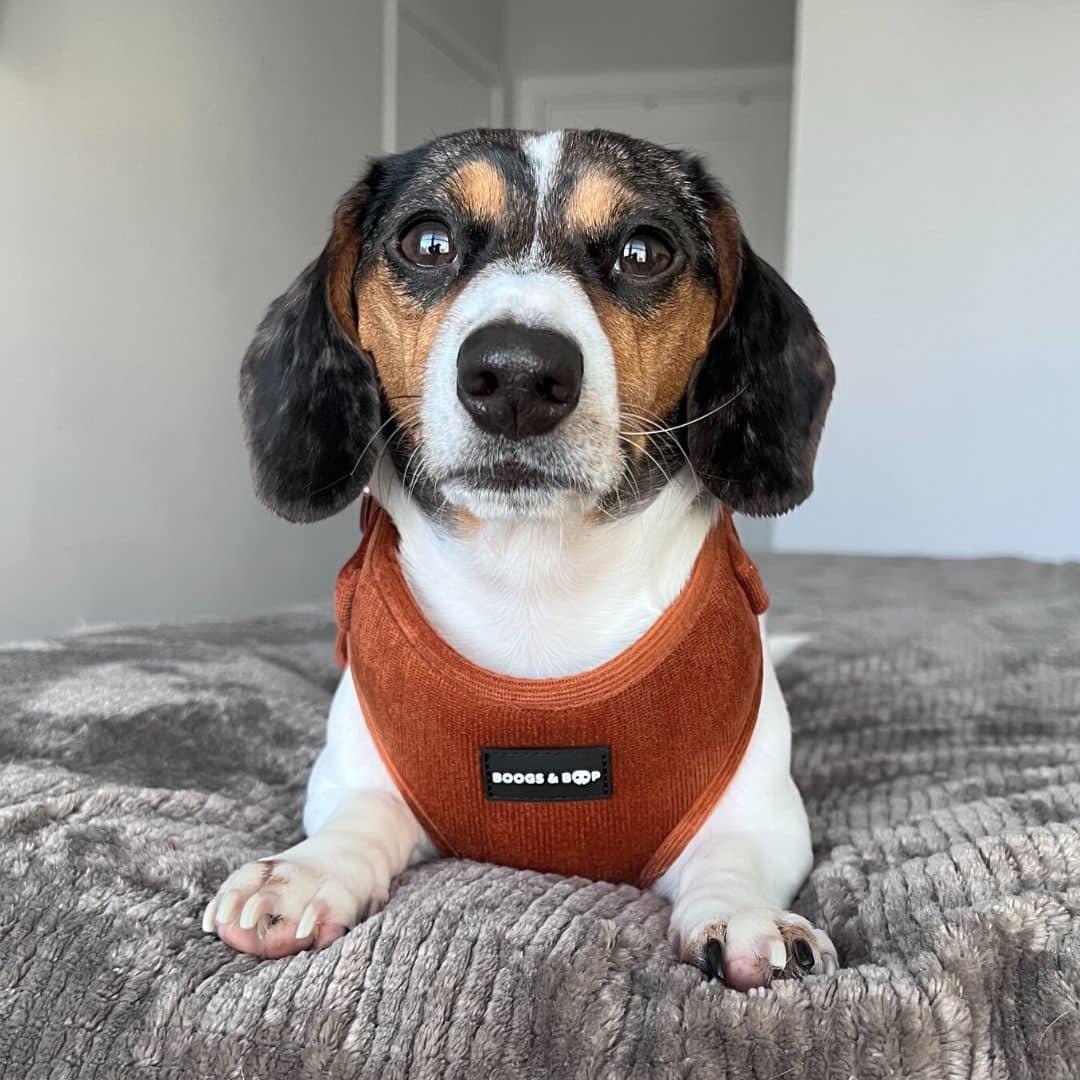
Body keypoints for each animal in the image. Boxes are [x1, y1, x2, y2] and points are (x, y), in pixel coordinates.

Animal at [206, 126, 838, 989]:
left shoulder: (765, 811)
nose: (515, 373)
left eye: (645, 251)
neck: (533, 582)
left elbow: (733, 858)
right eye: (427, 241)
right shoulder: (354, 770)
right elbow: (359, 817)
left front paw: (743, 917)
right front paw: (303, 874)